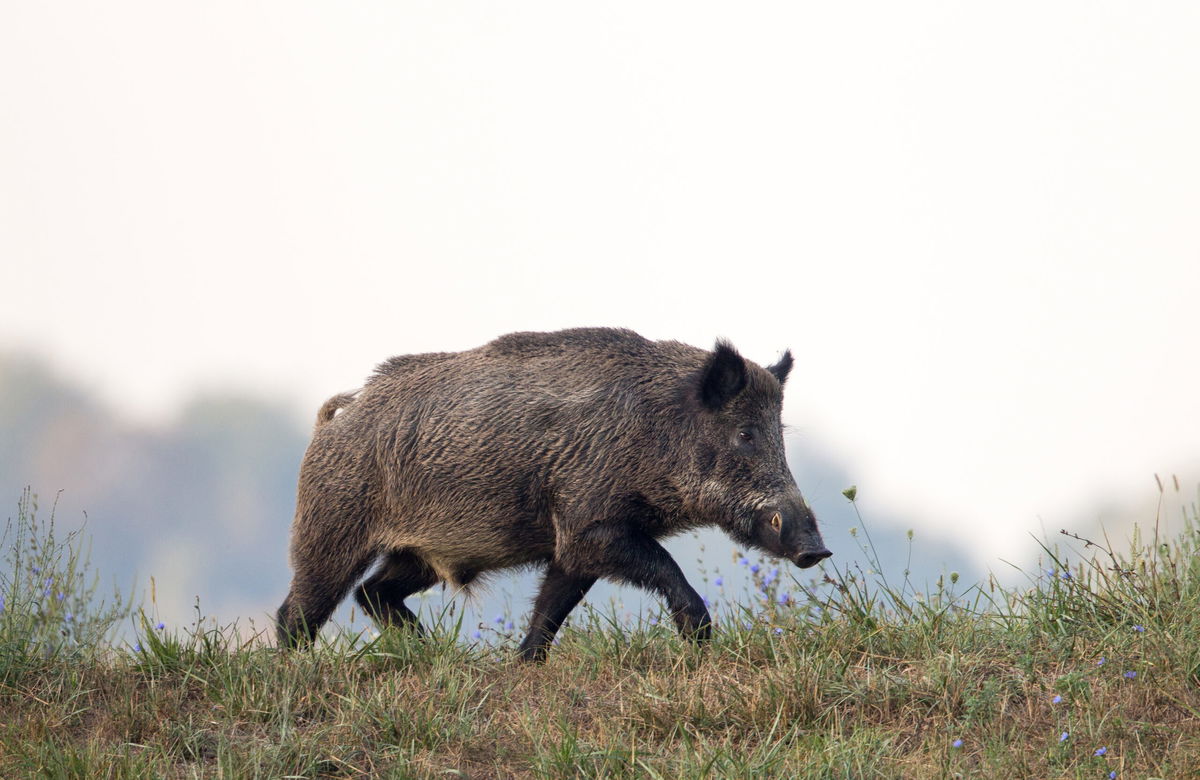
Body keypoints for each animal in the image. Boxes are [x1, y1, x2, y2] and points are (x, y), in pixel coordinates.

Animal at [276, 327, 830, 661]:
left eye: (779, 433)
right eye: (745, 434)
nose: (816, 550)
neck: (652, 429)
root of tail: (335, 419)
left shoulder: (573, 545)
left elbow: (552, 607)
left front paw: (525, 663)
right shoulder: (589, 523)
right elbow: (663, 565)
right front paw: (700, 635)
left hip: (416, 555)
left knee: (373, 592)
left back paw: (432, 652)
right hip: (329, 530)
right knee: (298, 611)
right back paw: (294, 666)